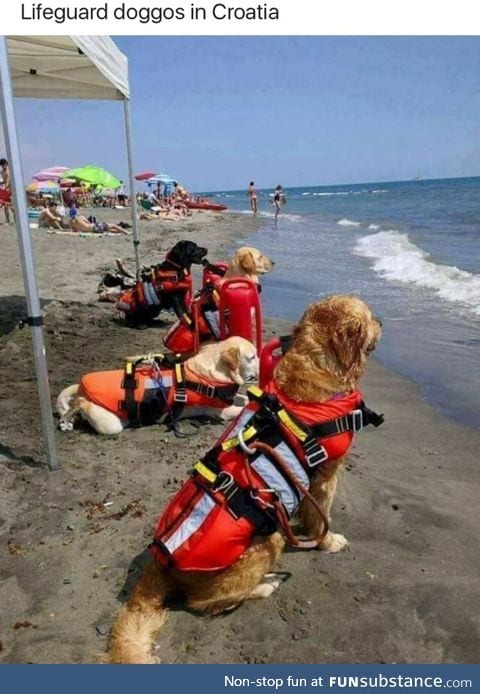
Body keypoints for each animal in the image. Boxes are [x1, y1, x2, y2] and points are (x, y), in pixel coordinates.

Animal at [56, 336, 258, 436]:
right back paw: (69, 416)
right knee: (80, 403)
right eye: (252, 357)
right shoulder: (221, 411)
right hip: (111, 424)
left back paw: (70, 420)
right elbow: (242, 408)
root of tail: (80, 387)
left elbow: (243, 397)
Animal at [105, 296, 382, 668]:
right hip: (269, 540)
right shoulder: (327, 475)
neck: (313, 367)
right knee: (205, 603)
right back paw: (266, 584)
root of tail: (160, 563)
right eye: (370, 316)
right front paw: (328, 541)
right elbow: (322, 516)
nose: (382, 321)